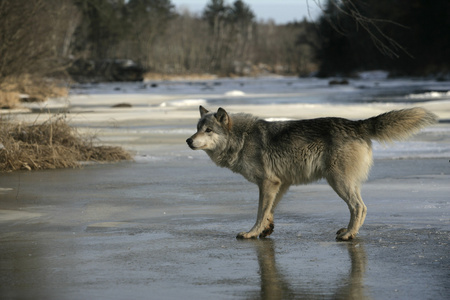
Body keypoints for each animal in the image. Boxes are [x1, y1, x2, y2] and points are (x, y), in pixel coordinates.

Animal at [185, 106, 438, 240]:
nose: (188, 140)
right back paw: (349, 230)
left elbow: (259, 212)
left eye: (208, 130)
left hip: (337, 182)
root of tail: (356, 123)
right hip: (347, 182)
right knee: (361, 208)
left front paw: (251, 233)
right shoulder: (280, 184)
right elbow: (269, 211)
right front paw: (267, 230)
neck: (242, 139)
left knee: (359, 207)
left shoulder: (268, 183)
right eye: (197, 128)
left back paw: (348, 235)